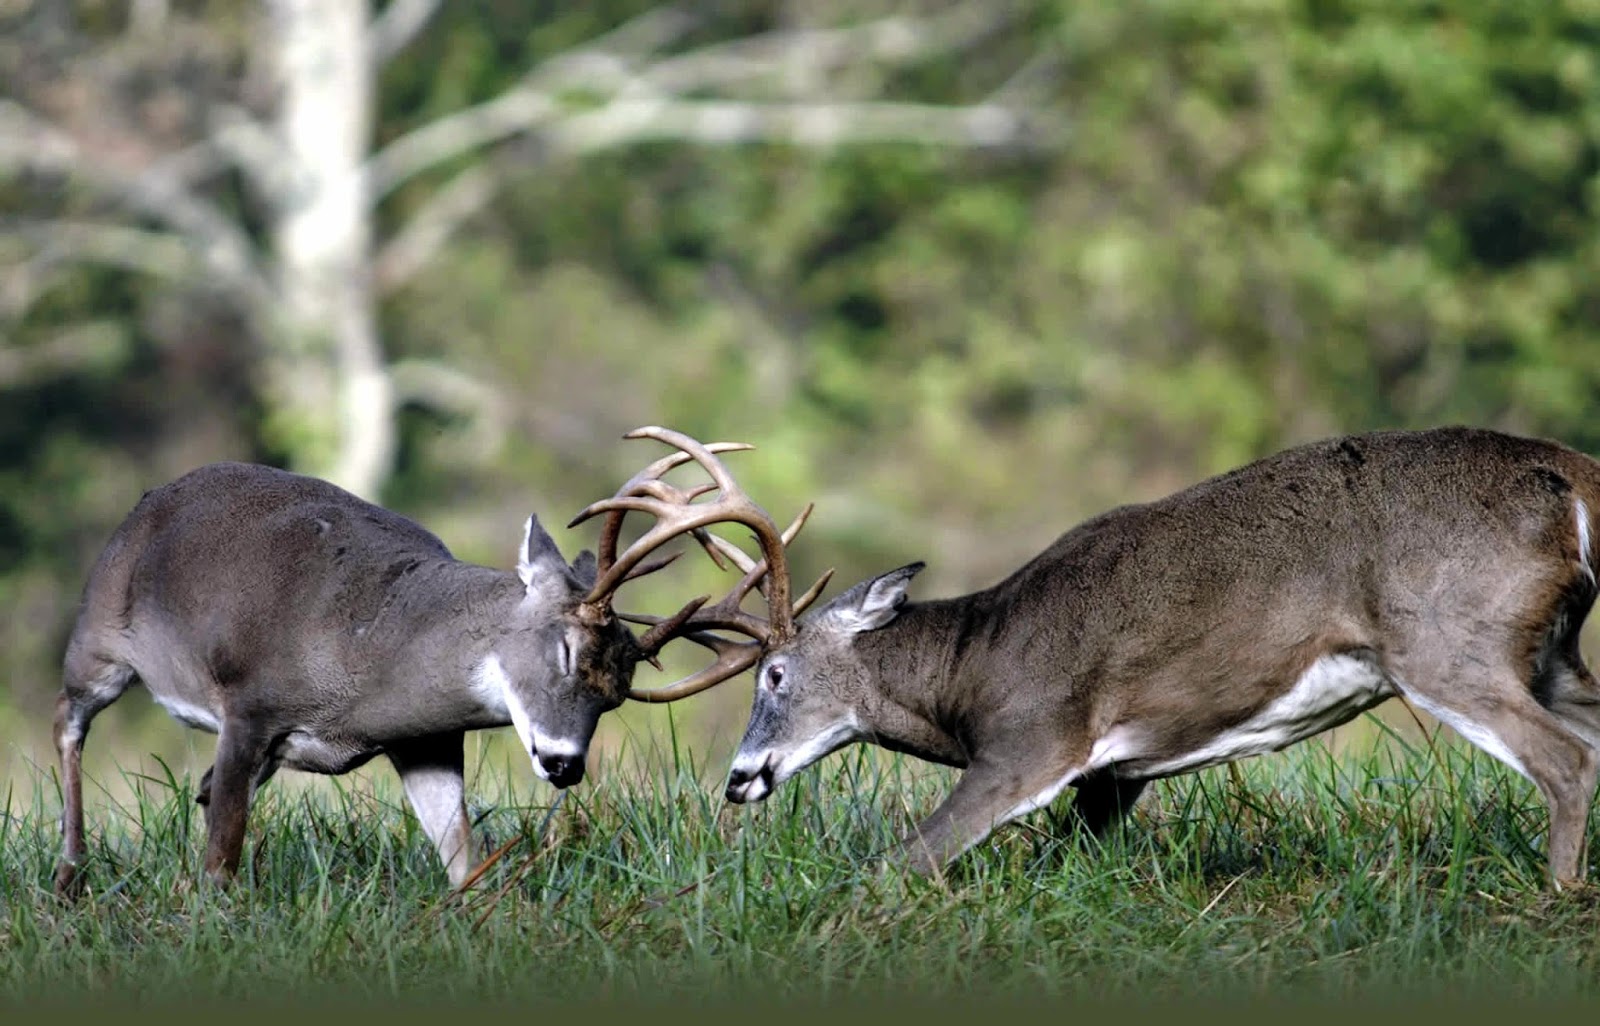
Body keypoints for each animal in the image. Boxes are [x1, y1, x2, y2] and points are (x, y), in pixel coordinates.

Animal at [52, 427, 806, 896]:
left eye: (616, 692)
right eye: (565, 648)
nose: (565, 765)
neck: (365, 655)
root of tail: (151, 498)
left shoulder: (425, 740)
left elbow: (461, 857)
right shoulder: (248, 705)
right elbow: (221, 862)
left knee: (201, 786)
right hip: (99, 635)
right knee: (68, 721)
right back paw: (70, 876)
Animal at [611, 426, 1600, 890]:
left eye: (774, 675)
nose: (739, 778)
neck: (973, 665)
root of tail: (1574, 477)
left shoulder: (1035, 739)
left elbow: (904, 860)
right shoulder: (1112, 777)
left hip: (1447, 639)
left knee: (1565, 760)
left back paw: (1554, 896)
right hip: (1550, 651)